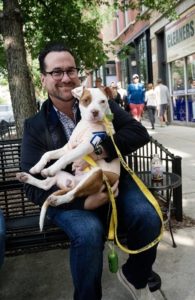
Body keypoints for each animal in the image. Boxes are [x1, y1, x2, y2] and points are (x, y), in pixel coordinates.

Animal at [16, 85, 119, 231]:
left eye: (103, 101)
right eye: (86, 100)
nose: (95, 112)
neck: (87, 124)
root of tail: (74, 183)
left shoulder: (86, 146)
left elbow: (66, 157)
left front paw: (51, 167)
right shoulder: (68, 147)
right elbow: (48, 154)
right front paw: (37, 167)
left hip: (96, 175)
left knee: (72, 195)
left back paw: (57, 197)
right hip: (63, 176)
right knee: (47, 185)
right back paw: (26, 177)